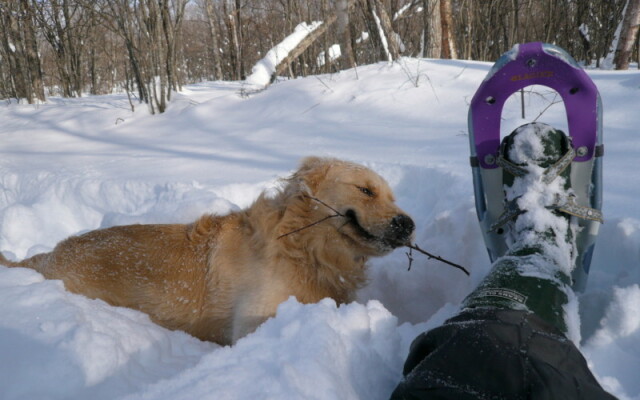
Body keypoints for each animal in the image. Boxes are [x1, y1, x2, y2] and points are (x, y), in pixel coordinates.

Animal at [0, 158, 416, 346]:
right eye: (366, 190)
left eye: (392, 196)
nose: (408, 224)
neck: (303, 249)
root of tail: (45, 258)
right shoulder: (256, 319)